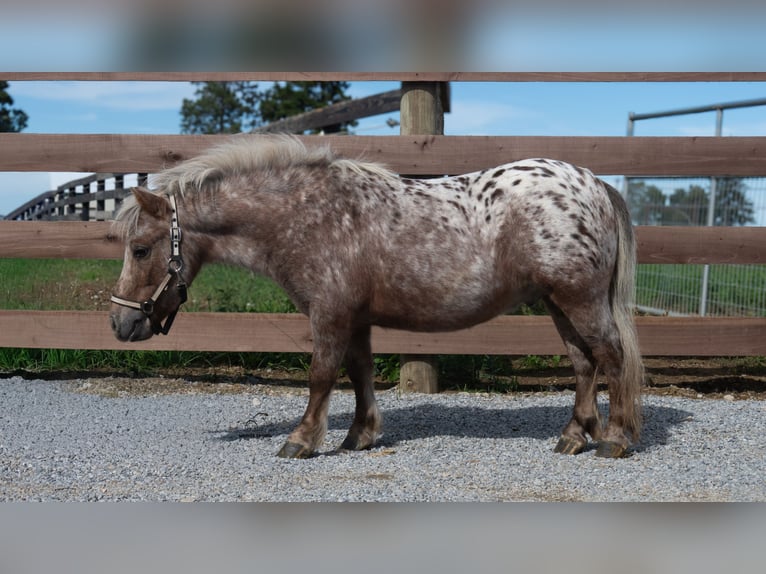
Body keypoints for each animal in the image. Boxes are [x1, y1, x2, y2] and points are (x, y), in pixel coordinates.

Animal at [109, 135, 644, 459]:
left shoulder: (329, 315)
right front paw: (359, 435)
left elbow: (321, 375)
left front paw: (301, 440)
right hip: (559, 303)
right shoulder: (356, 319)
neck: (306, 214)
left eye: (140, 249)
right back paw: (574, 436)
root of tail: (595, 183)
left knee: (612, 356)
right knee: (584, 364)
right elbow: (359, 372)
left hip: (579, 300)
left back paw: (614, 439)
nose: (121, 324)